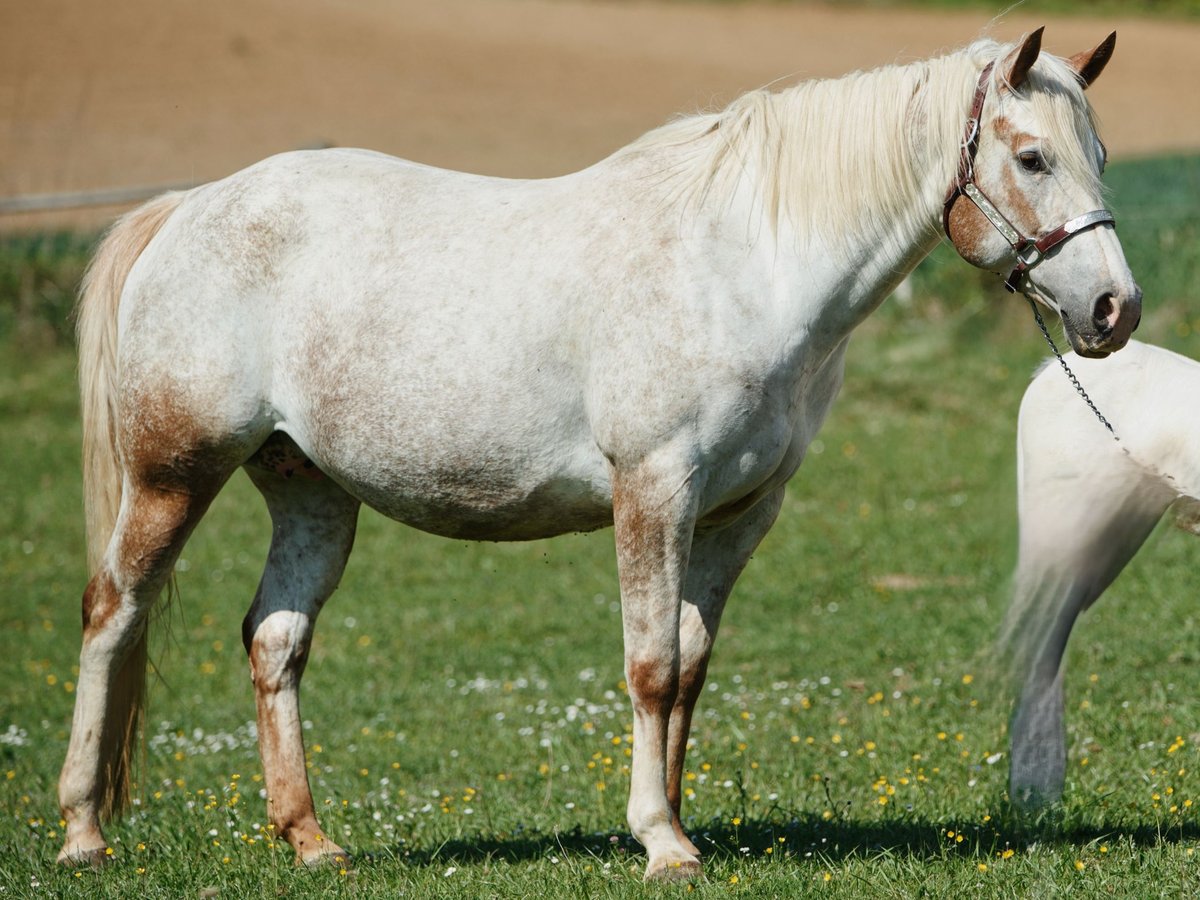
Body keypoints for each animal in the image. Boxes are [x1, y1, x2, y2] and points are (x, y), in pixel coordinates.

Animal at [58, 28, 1137, 880]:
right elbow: (650, 665)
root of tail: (186, 208)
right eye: (1031, 158)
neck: (745, 266)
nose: (1112, 309)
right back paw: (82, 834)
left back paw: (312, 842)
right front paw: (661, 843)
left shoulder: (741, 512)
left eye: (1097, 151)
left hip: (310, 491)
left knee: (274, 641)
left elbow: (691, 667)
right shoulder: (654, 486)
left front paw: (681, 824)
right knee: (114, 611)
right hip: (173, 474)